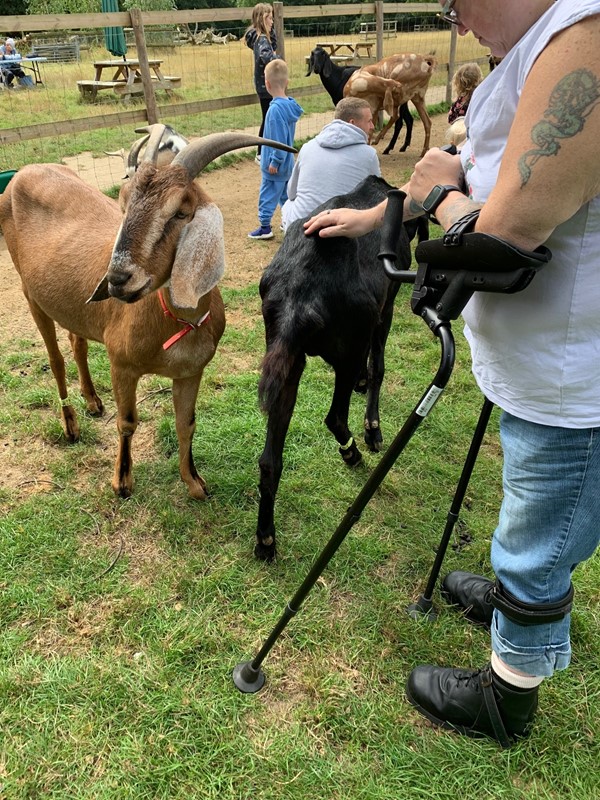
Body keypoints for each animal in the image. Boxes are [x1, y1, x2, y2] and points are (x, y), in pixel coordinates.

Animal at [253, 175, 412, 564]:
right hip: (350, 346)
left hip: (288, 363)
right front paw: (373, 430)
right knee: (335, 417)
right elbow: (378, 367)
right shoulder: (384, 310)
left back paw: (266, 539)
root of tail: (298, 294)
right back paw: (352, 453)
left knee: (269, 461)